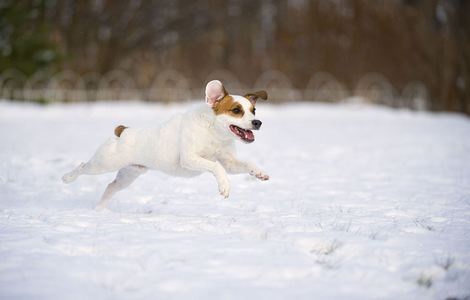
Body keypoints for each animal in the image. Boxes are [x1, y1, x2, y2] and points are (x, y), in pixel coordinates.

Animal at [61, 80, 270, 211]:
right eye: (236, 110)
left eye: (254, 110)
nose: (258, 122)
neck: (215, 134)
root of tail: (122, 131)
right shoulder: (190, 158)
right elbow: (215, 167)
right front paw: (224, 185)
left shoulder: (229, 162)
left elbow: (245, 164)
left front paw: (259, 172)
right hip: (103, 164)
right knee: (83, 166)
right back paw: (67, 178)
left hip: (128, 175)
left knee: (110, 187)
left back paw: (99, 209)